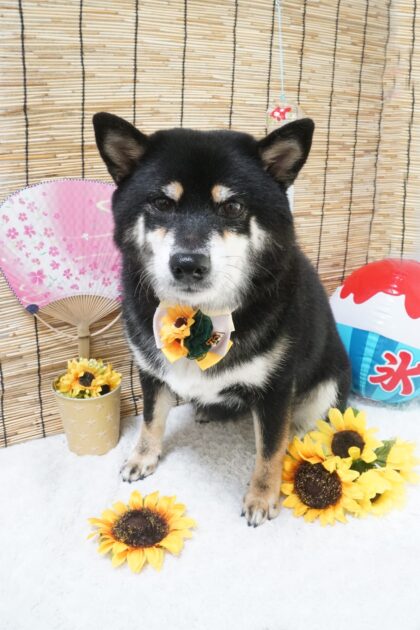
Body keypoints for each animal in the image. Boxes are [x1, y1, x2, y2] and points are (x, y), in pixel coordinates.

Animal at [93, 112, 351, 527]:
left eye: (232, 208)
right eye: (162, 203)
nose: (188, 264)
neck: (196, 315)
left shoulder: (277, 388)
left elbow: (269, 450)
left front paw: (262, 497)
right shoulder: (150, 371)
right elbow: (151, 419)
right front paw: (142, 457)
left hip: (325, 392)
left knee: (295, 430)